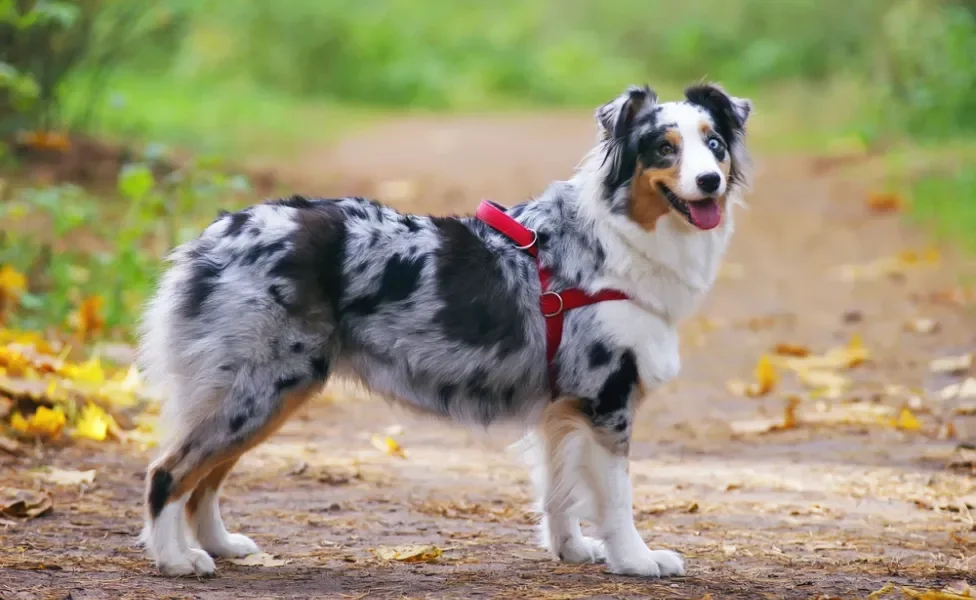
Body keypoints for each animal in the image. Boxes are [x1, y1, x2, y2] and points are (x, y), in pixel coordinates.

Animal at [137, 82, 752, 580]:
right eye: (664, 148)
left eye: (715, 145)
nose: (709, 181)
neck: (616, 242)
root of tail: (214, 235)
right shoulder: (607, 399)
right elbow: (617, 498)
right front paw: (636, 560)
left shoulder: (563, 407)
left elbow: (559, 492)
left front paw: (572, 551)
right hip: (263, 385)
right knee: (170, 472)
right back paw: (177, 559)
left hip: (266, 391)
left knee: (207, 478)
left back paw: (221, 545)